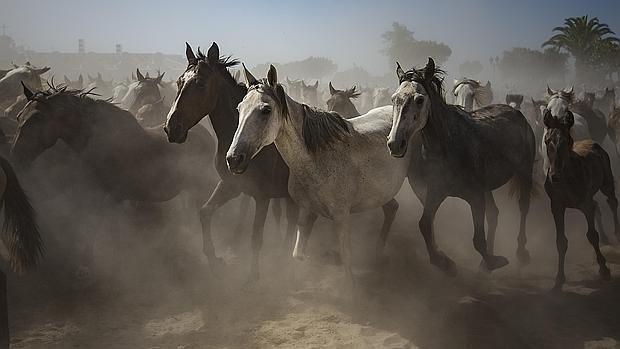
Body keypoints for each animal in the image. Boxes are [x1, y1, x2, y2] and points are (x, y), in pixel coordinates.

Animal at [163, 42, 300, 282]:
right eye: (179, 82)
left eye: (200, 83)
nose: (172, 128)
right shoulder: (231, 186)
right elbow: (205, 213)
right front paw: (214, 259)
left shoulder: (262, 196)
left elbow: (256, 236)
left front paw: (254, 275)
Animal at [228, 65, 412, 286]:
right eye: (239, 109)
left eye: (266, 110)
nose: (234, 158)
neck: (316, 158)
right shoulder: (307, 210)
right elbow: (297, 253)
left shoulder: (341, 216)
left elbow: (346, 258)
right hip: (380, 192)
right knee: (392, 209)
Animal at [386, 57, 536, 274]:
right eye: (394, 99)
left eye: (419, 99)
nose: (395, 143)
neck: (448, 146)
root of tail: (516, 111)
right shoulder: (435, 192)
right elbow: (425, 225)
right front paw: (444, 262)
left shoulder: (475, 196)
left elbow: (477, 239)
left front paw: (494, 261)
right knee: (494, 214)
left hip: (525, 171)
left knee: (523, 207)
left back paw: (521, 252)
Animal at [540, 107, 616, 290]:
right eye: (547, 140)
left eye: (567, 140)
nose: (554, 176)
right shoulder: (557, 206)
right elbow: (561, 241)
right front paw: (559, 279)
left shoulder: (585, 204)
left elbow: (592, 235)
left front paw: (604, 270)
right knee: (599, 205)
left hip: (606, 182)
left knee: (612, 202)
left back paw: (617, 233)